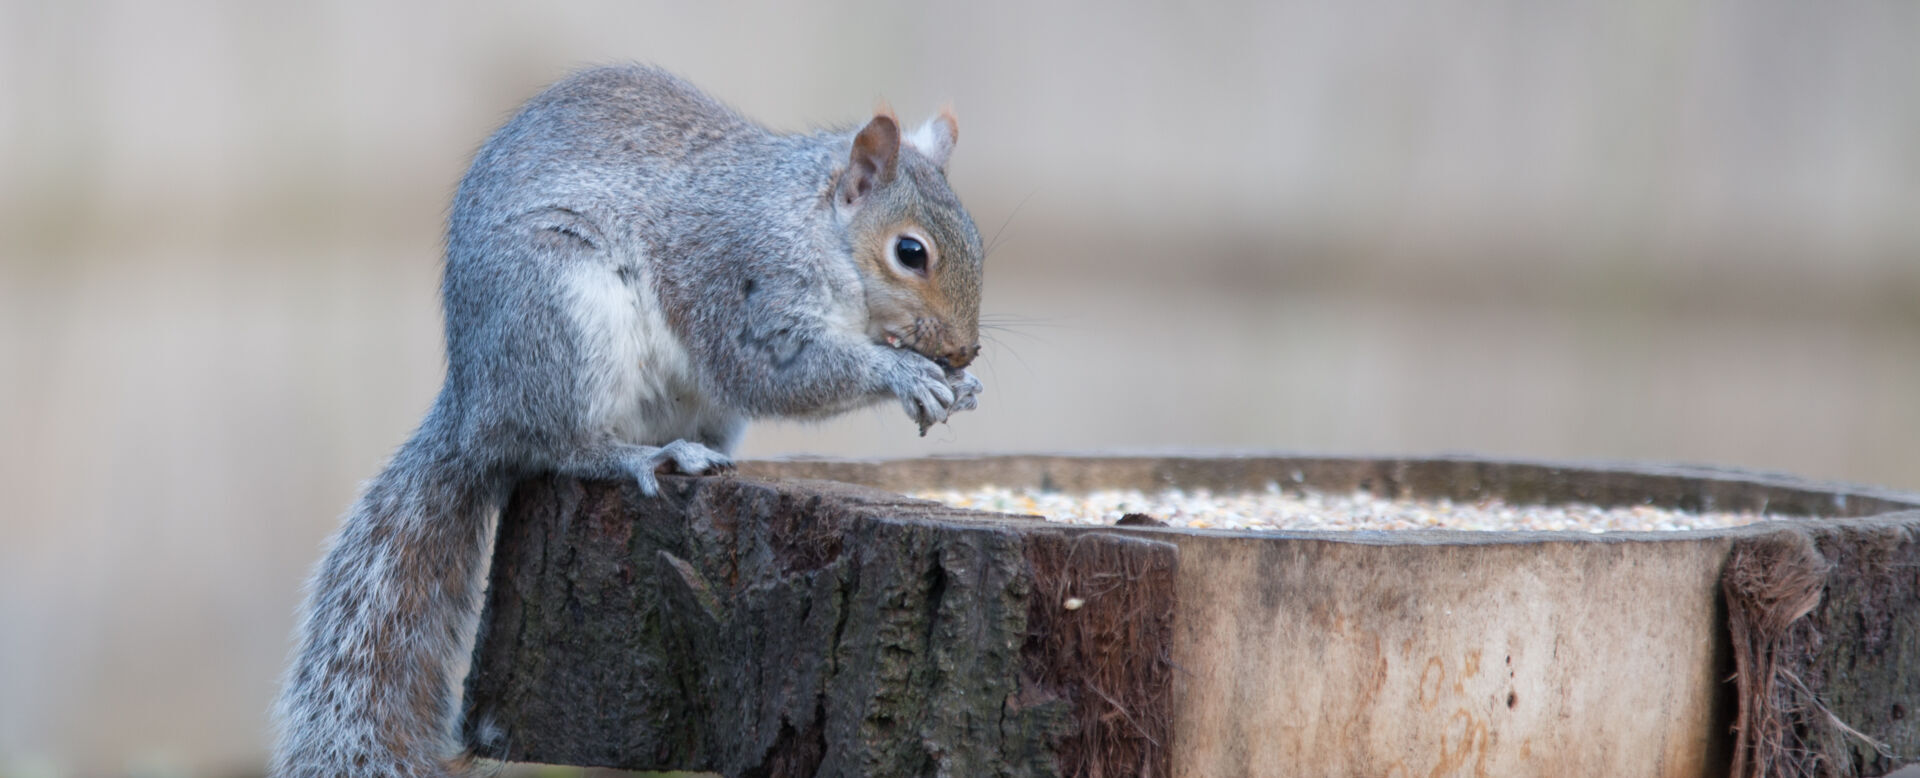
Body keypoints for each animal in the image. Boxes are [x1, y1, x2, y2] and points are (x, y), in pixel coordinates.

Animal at [270, 64, 985, 778]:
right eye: (911, 252)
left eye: (976, 242)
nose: (963, 351)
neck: (813, 224)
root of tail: (475, 409)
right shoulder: (745, 284)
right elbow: (772, 371)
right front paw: (905, 375)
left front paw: (961, 387)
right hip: (562, 313)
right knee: (560, 446)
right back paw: (648, 457)